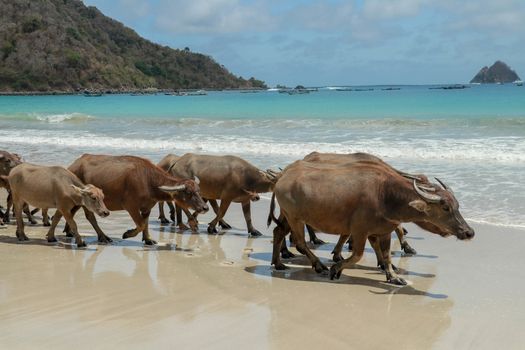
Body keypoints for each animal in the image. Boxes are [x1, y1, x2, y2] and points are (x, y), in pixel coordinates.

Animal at [67, 154, 209, 245]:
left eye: (198, 191)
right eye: (189, 192)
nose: (205, 207)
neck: (148, 180)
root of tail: (72, 166)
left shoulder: (147, 208)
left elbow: (145, 223)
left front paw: (148, 239)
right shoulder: (131, 206)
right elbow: (140, 224)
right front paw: (127, 234)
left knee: (72, 212)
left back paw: (68, 232)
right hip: (88, 202)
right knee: (90, 217)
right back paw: (103, 237)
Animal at [268, 159, 472, 284]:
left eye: (457, 205)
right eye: (445, 207)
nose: (469, 232)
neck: (386, 194)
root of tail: (282, 177)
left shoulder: (384, 231)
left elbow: (387, 255)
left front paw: (394, 277)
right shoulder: (360, 231)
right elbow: (357, 254)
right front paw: (336, 269)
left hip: (288, 216)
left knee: (278, 233)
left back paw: (278, 263)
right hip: (294, 217)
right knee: (300, 242)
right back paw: (319, 266)